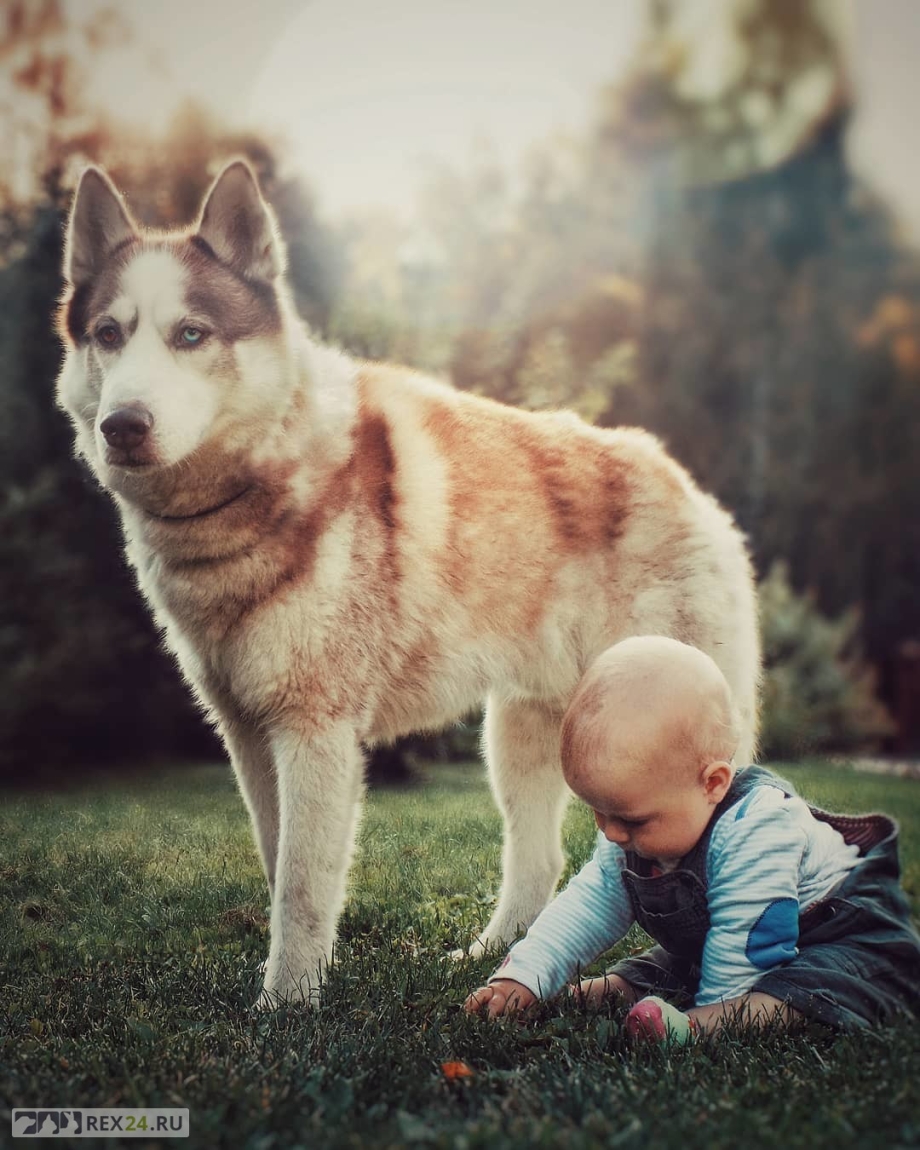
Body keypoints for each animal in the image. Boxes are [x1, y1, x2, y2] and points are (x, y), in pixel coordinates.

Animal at [57, 162, 763, 1007]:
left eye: (190, 334)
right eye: (108, 333)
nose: (123, 425)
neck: (249, 499)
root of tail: (677, 473)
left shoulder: (315, 733)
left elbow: (302, 887)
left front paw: (284, 1007)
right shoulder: (250, 737)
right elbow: (279, 869)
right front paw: (301, 981)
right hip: (522, 742)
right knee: (539, 865)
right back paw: (488, 959)